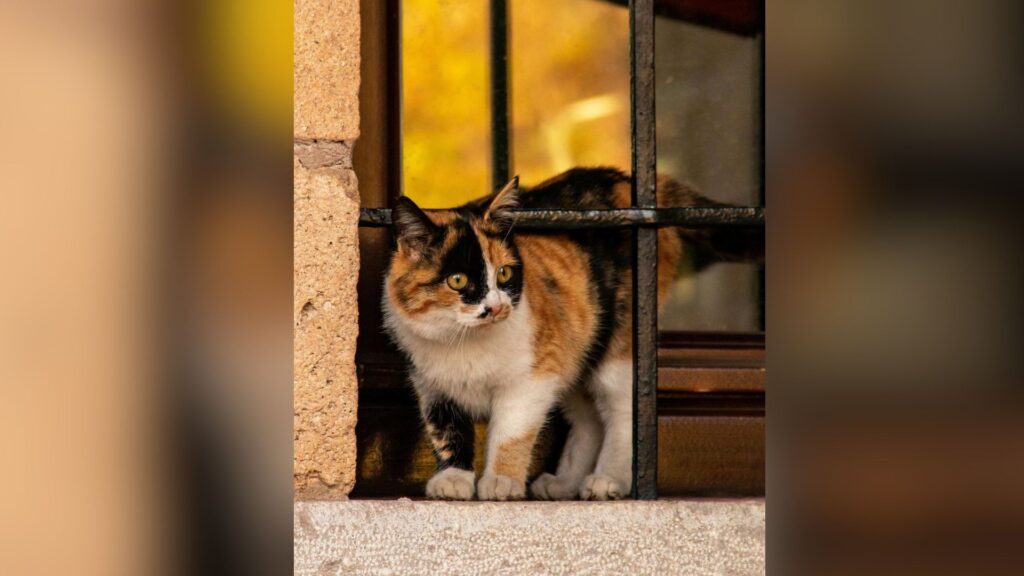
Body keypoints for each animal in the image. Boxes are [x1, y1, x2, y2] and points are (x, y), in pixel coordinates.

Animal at [380, 166, 757, 498]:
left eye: (504, 274)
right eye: (457, 280)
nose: (497, 307)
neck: (461, 342)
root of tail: (624, 179)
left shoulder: (533, 378)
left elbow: (511, 433)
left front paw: (502, 480)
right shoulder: (431, 386)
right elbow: (446, 430)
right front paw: (453, 479)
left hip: (615, 347)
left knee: (621, 412)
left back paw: (607, 480)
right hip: (577, 353)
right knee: (588, 421)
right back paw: (563, 483)